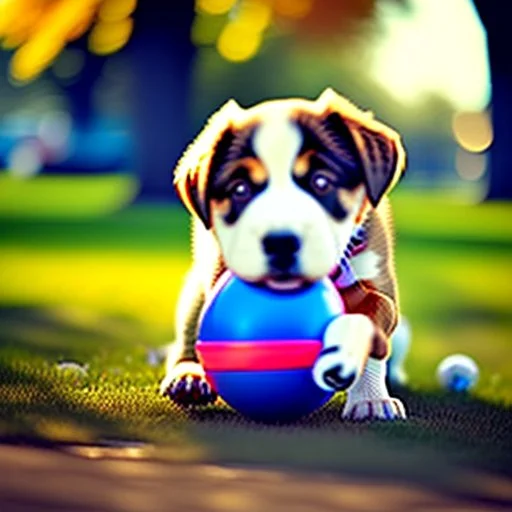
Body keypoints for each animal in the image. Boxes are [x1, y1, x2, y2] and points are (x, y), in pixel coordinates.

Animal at [160, 88, 408, 422]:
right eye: (240, 189)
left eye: (321, 182)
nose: (280, 243)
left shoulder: (377, 279)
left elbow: (375, 317)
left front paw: (370, 398)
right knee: (187, 336)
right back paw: (188, 375)